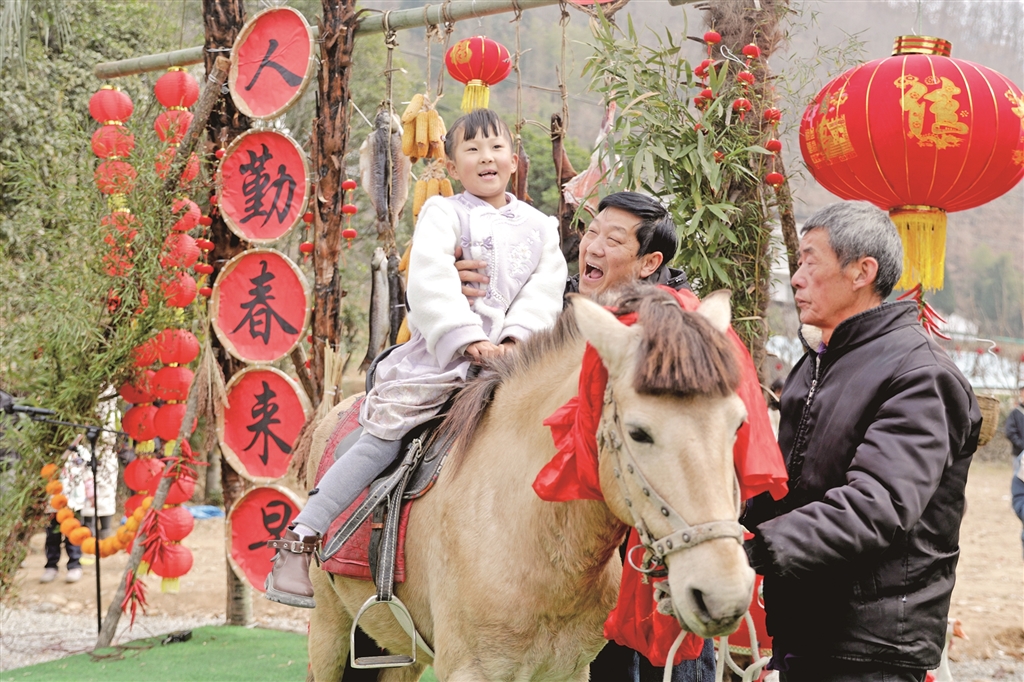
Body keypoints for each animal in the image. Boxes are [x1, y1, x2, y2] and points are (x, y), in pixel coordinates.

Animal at [305, 286, 756, 681]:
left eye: (738, 424)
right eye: (639, 432)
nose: (722, 594)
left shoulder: (568, 671)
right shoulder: (470, 670)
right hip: (329, 629)